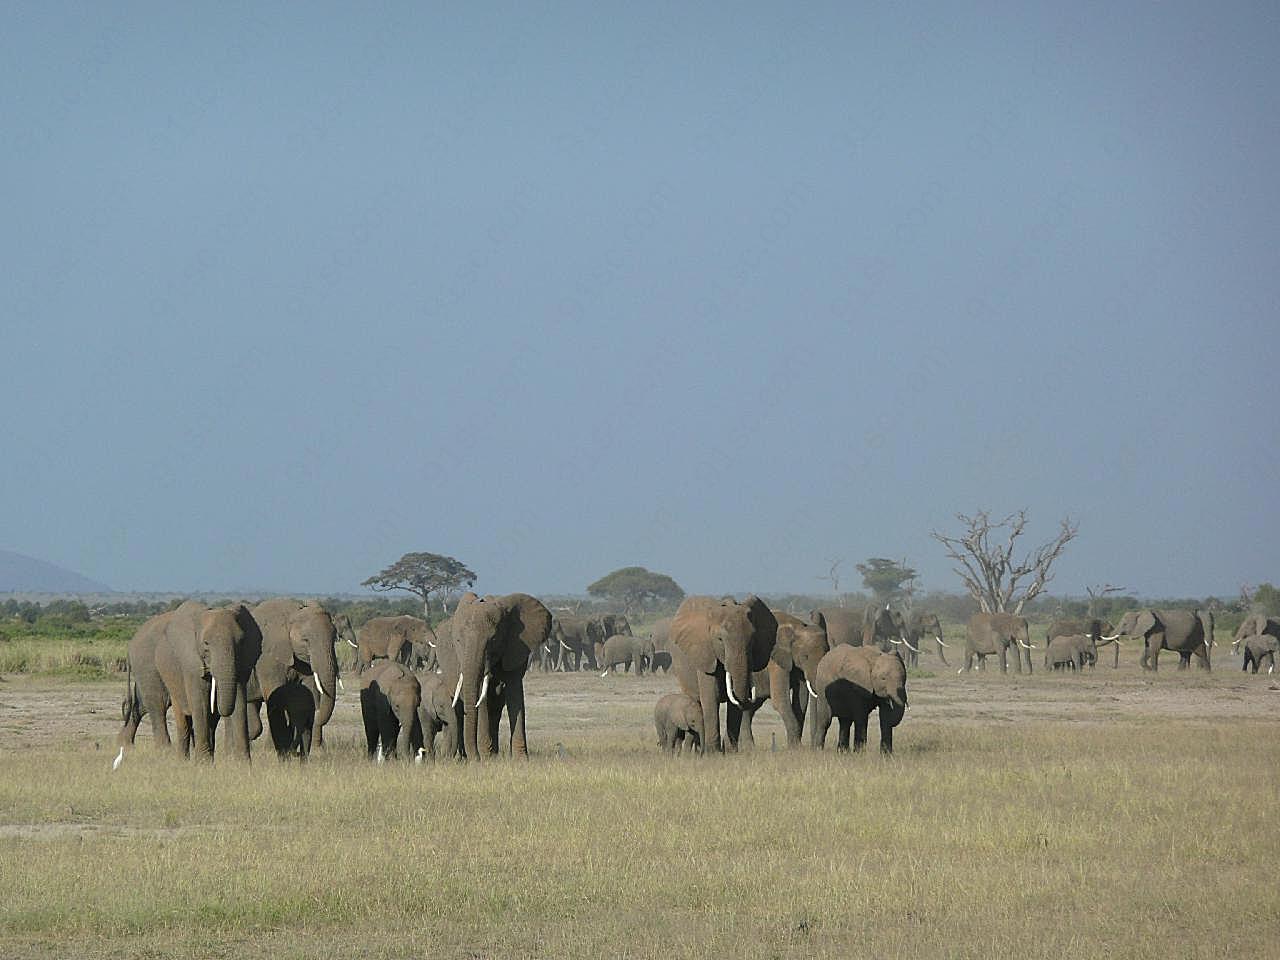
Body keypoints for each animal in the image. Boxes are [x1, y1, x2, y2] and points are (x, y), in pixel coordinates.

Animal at [150, 601, 259, 768]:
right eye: (206, 643)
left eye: (241, 642)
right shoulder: (191, 662)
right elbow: (200, 703)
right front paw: (203, 765)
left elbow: (240, 702)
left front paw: (244, 765)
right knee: (184, 720)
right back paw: (183, 761)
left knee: (211, 722)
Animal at [247, 601, 340, 757]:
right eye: (306, 640)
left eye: (335, 639)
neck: (293, 615)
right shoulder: (268, 659)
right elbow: (275, 696)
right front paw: (274, 750)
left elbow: (308, 692)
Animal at [450, 591, 550, 762]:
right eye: (458, 640)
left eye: (493, 640)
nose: (475, 758)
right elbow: (482, 698)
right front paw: (487, 758)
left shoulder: (515, 648)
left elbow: (515, 693)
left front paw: (521, 760)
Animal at [670, 599, 778, 757]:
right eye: (720, 639)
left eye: (753, 640)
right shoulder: (706, 655)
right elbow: (711, 696)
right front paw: (714, 753)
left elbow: (735, 701)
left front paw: (731, 752)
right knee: (696, 703)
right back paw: (693, 754)